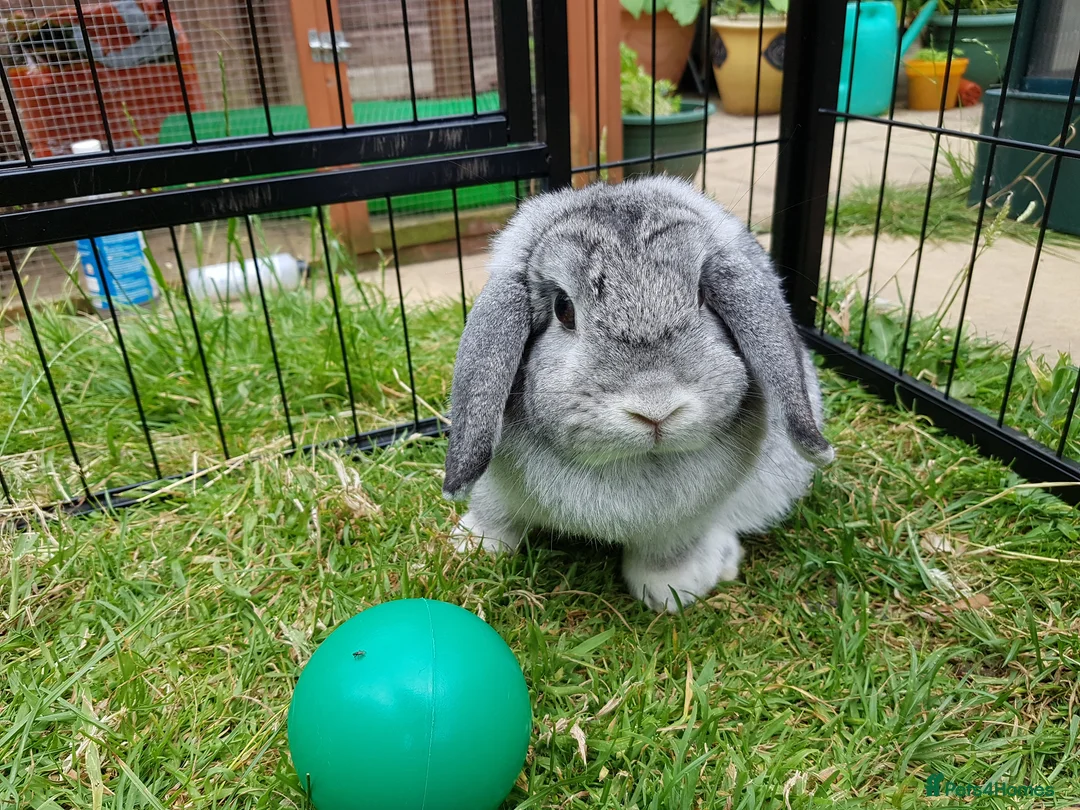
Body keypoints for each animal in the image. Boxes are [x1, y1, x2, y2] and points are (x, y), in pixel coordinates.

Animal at [442, 175, 832, 613]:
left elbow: (665, 557)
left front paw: (671, 592)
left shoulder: (682, 524)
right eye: (563, 308)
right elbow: (495, 517)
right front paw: (473, 546)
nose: (656, 409)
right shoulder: (496, 491)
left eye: (702, 297)